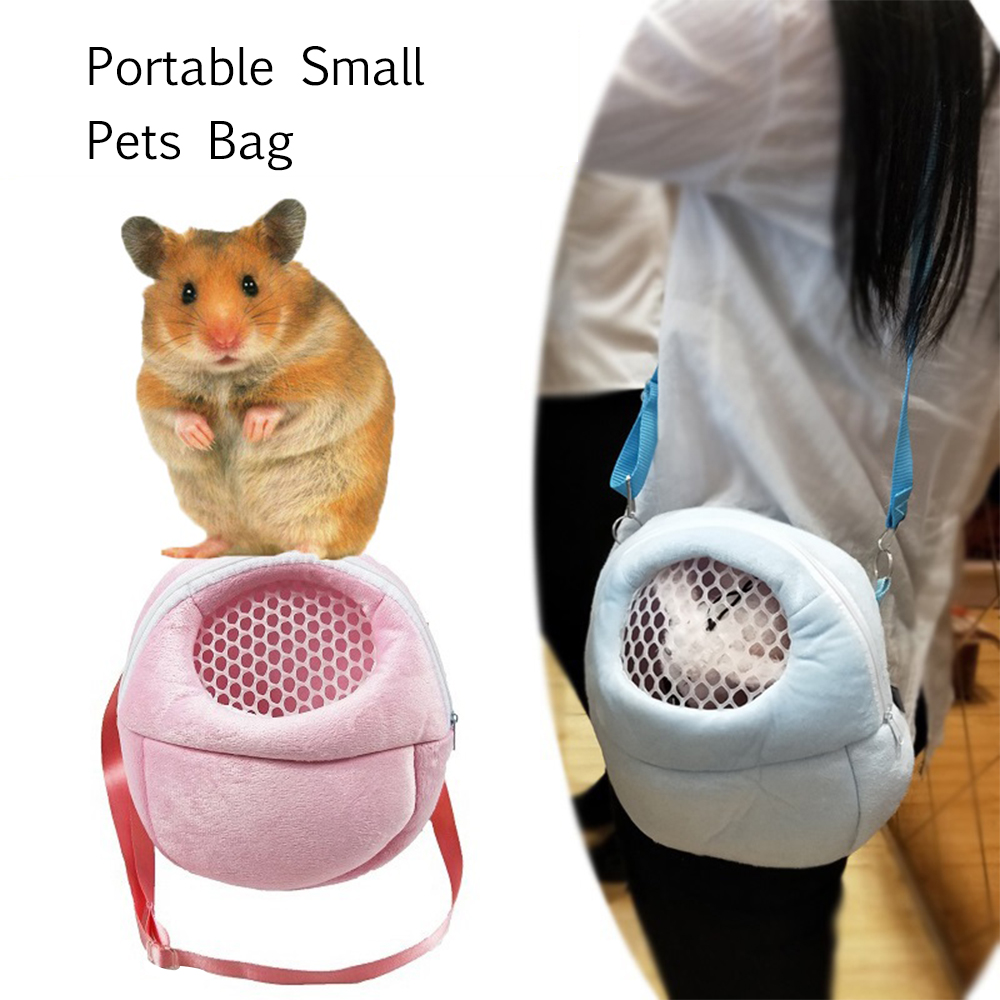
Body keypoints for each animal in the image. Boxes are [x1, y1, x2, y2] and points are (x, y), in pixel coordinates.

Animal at [123, 199, 394, 559]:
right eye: (187, 292)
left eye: (250, 284)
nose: (224, 341)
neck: (226, 375)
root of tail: (264, 544)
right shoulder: (152, 383)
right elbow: (174, 414)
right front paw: (202, 438)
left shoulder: (324, 375)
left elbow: (283, 406)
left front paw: (253, 430)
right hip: (211, 507)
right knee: (224, 537)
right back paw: (182, 552)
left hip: (332, 505)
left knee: (319, 543)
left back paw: (298, 554)